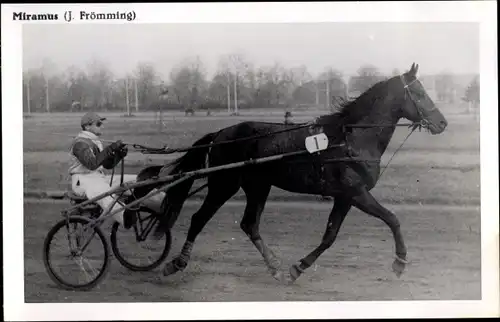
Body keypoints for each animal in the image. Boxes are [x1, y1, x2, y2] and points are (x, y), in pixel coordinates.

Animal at [134, 62, 450, 282]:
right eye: (420, 92)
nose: (442, 122)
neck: (351, 139)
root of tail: (221, 134)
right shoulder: (356, 192)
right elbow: (392, 219)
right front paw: (400, 261)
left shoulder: (345, 196)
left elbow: (330, 236)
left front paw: (298, 267)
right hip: (224, 184)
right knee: (199, 219)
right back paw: (178, 262)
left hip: (258, 186)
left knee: (249, 224)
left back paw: (273, 266)